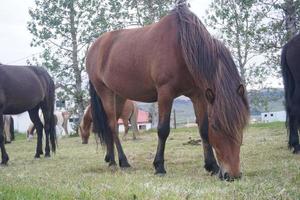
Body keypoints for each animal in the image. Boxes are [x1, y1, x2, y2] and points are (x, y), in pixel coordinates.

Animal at [86, 1, 248, 181]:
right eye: (217, 126)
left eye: (242, 124)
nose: (232, 174)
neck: (182, 46)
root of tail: (94, 47)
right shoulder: (165, 93)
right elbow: (163, 130)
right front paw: (159, 166)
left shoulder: (198, 95)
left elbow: (203, 129)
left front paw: (211, 165)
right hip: (105, 92)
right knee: (113, 126)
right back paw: (123, 161)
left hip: (119, 96)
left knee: (110, 126)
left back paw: (112, 160)